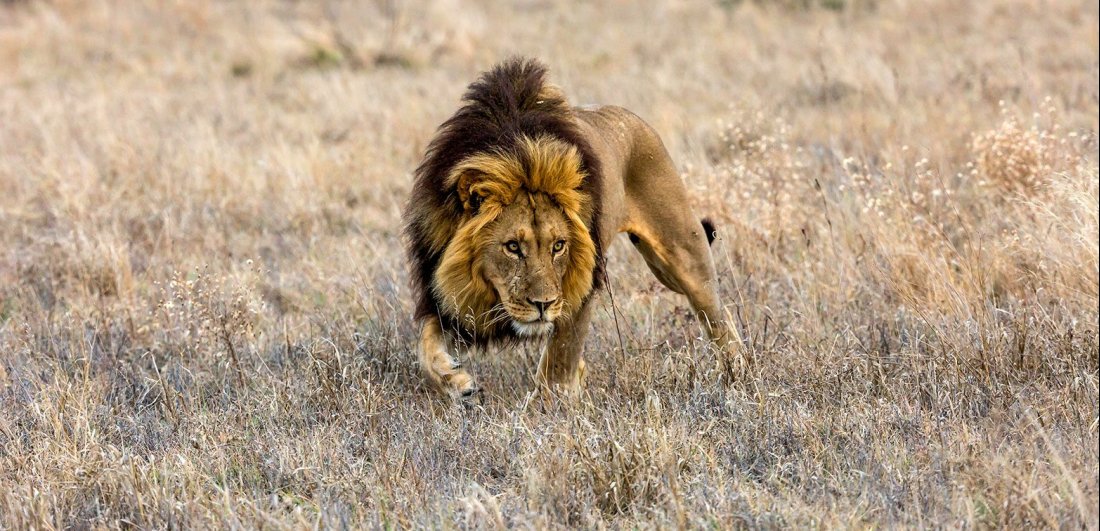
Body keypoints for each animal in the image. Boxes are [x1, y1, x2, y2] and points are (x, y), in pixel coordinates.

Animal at [400, 57, 743, 400]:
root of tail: (631, 117)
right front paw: (456, 381)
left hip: (682, 255)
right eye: (512, 247)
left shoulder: (581, 285)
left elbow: (558, 361)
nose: (542, 305)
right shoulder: (444, 294)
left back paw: (737, 373)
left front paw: (548, 406)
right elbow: (425, 347)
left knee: (717, 316)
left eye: (558, 246)